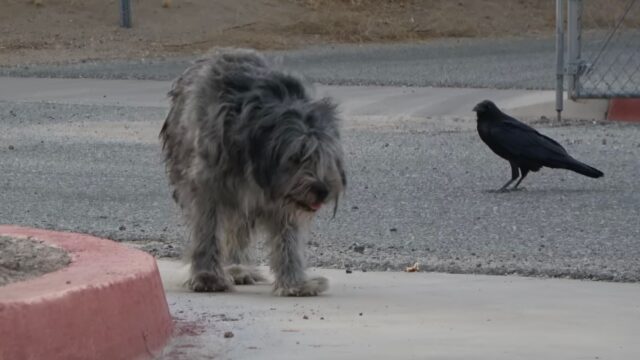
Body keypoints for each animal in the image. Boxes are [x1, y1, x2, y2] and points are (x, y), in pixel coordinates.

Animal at [162, 48, 348, 296]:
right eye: (297, 156)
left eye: (325, 156)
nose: (323, 190)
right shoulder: (206, 187)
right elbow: (207, 230)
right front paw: (207, 277)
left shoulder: (280, 198)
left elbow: (288, 237)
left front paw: (295, 282)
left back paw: (237, 268)